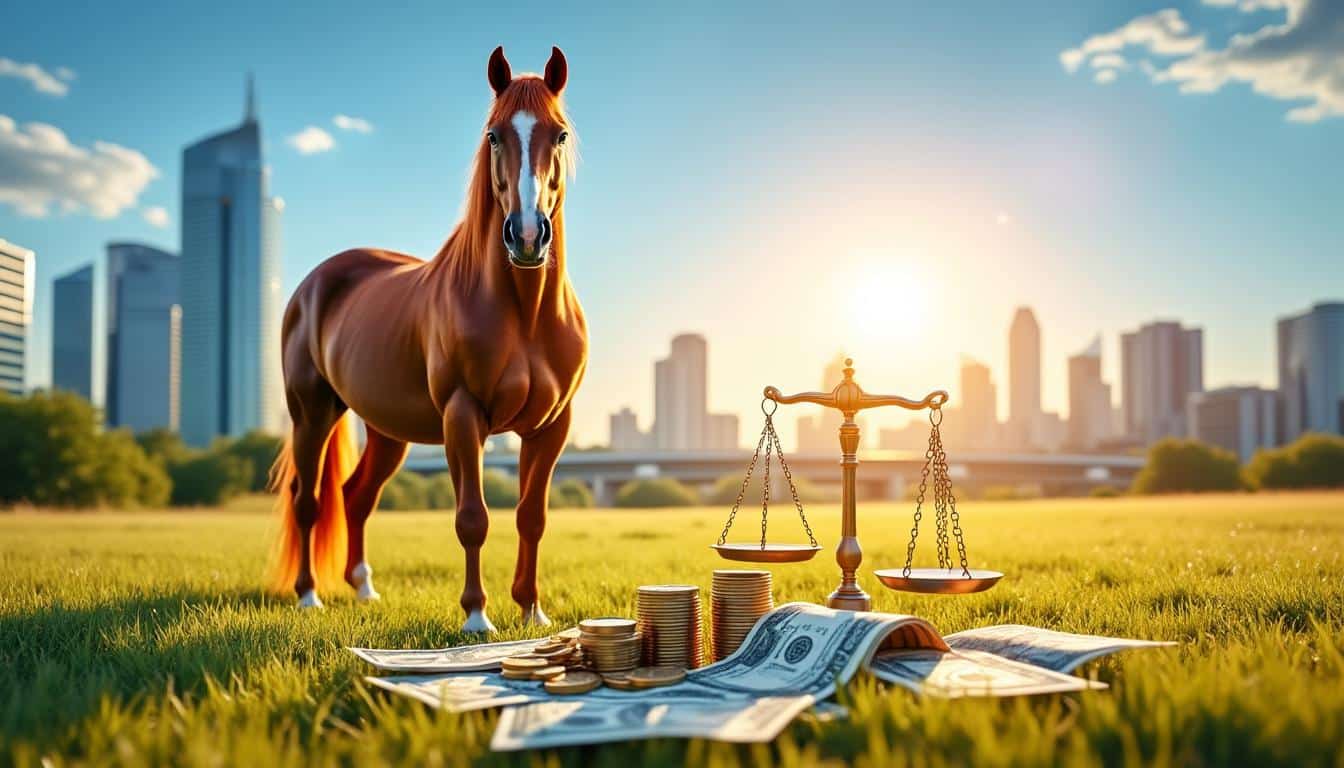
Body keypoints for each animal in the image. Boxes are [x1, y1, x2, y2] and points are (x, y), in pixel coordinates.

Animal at [266, 46, 586, 634]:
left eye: (560, 134)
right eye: (493, 135)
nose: (527, 236)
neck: (525, 315)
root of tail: (312, 284)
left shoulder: (551, 426)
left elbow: (531, 516)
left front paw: (532, 610)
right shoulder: (463, 415)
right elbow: (472, 518)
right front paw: (477, 618)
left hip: (387, 429)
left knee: (355, 497)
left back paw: (364, 589)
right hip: (312, 414)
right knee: (309, 498)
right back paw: (308, 596)